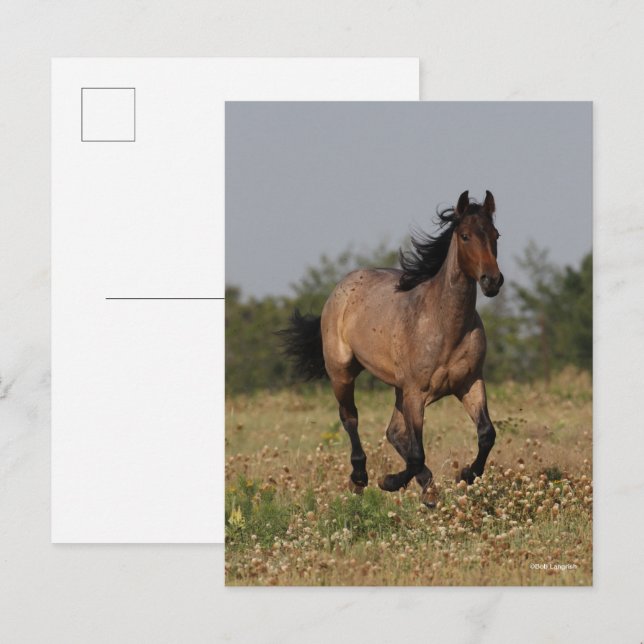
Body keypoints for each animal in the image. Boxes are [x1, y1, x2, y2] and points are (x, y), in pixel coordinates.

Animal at [278, 190, 504, 505]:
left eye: (496, 235)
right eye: (465, 235)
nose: (492, 280)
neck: (445, 325)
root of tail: (342, 286)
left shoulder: (469, 383)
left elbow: (486, 435)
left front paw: (467, 474)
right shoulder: (416, 392)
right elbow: (417, 452)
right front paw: (389, 481)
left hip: (400, 390)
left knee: (395, 432)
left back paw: (428, 488)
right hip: (342, 373)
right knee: (351, 418)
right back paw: (361, 478)